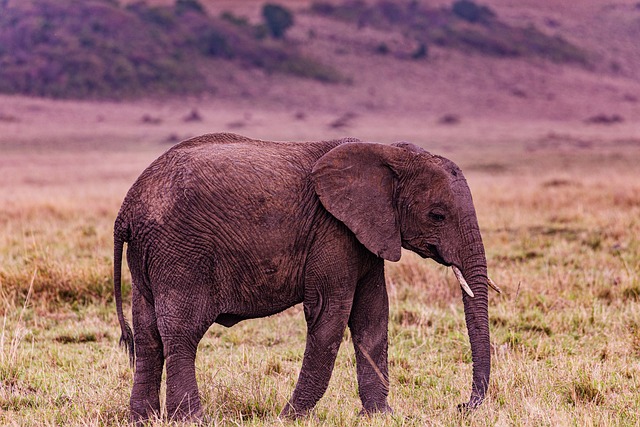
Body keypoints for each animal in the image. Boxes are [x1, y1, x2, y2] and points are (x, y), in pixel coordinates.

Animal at [112, 132, 498, 422]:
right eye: (437, 215)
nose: (463, 406)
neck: (387, 151)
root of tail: (128, 205)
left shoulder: (366, 232)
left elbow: (373, 316)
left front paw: (380, 416)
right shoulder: (333, 230)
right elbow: (330, 314)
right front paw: (289, 417)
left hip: (151, 255)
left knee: (148, 334)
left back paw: (143, 419)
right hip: (181, 252)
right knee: (181, 332)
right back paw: (192, 419)